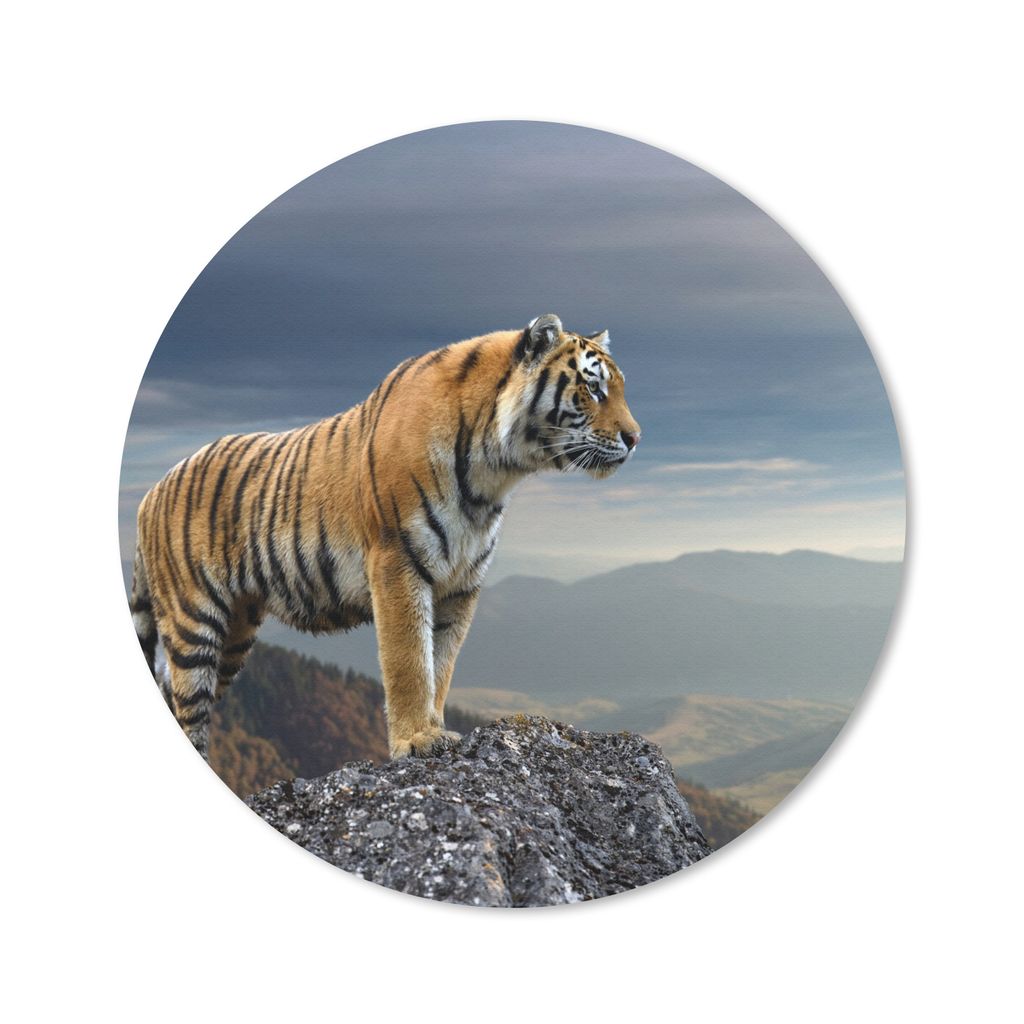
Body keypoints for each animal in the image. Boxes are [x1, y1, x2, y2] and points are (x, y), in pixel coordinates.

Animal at [130, 313, 641, 761]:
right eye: (593, 388)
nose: (636, 438)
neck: (494, 474)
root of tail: (151, 491)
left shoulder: (461, 584)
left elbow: (442, 664)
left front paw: (434, 728)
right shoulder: (399, 562)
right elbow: (410, 660)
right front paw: (417, 740)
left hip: (235, 634)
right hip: (194, 623)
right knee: (187, 710)